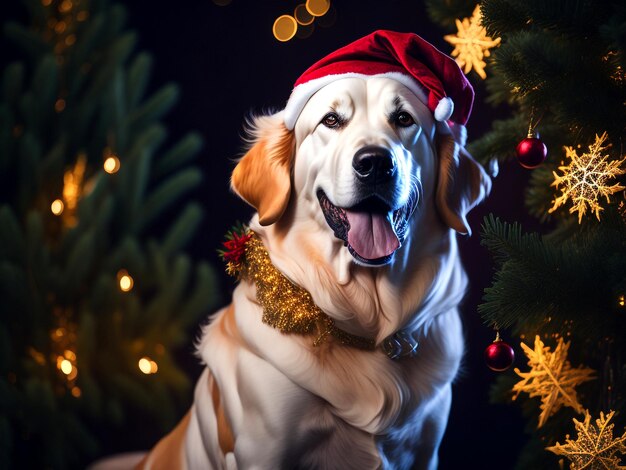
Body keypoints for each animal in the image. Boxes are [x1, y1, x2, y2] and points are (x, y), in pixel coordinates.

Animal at [139, 30, 490, 470]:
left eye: (404, 119)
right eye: (331, 121)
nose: (375, 163)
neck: (365, 319)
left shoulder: (425, 451)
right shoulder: (262, 451)